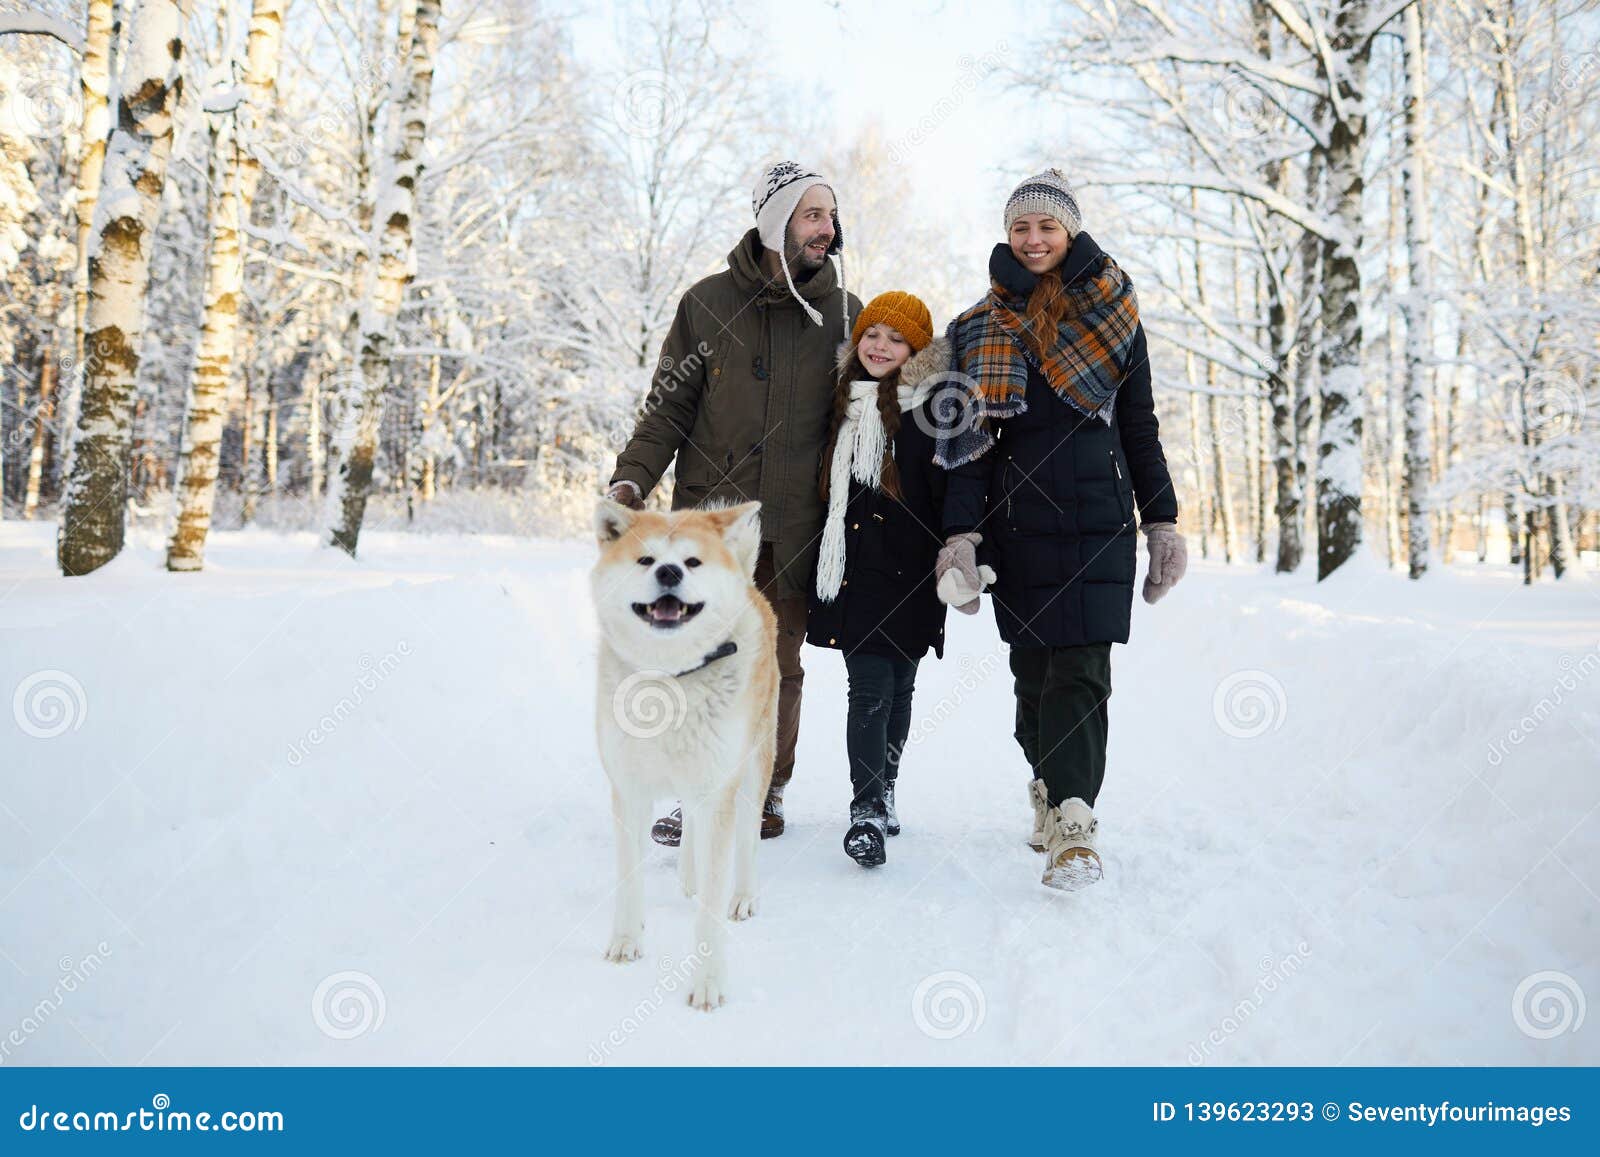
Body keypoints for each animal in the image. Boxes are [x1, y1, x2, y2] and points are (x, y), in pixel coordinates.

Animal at [595, 499, 780, 1011]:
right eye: (645, 559)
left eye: (692, 562)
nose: (670, 571)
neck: (670, 677)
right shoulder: (628, 789)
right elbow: (628, 873)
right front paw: (626, 939)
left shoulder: (719, 788)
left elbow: (710, 914)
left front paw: (708, 982)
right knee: (688, 824)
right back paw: (688, 877)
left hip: (752, 769)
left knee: (746, 843)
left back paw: (743, 896)